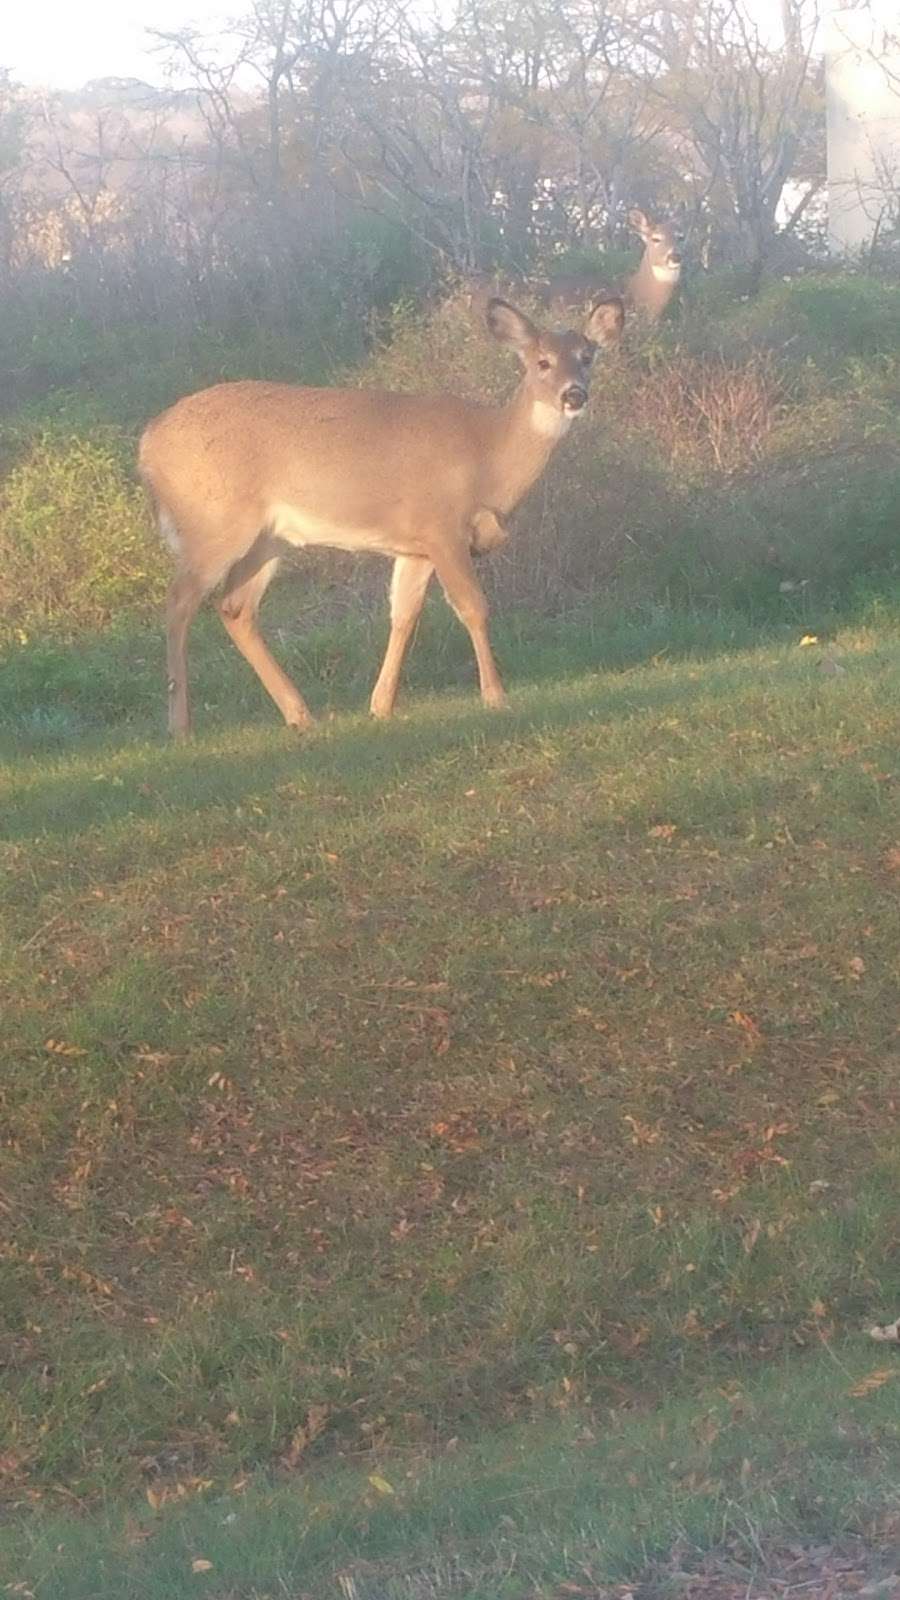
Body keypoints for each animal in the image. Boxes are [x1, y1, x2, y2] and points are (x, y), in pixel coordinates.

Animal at [140, 297, 621, 739]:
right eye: (542, 362)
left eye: (587, 356)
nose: (574, 394)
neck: (486, 455)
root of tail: (147, 443)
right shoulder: (442, 527)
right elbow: (473, 606)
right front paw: (495, 695)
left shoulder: (415, 548)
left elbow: (403, 615)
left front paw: (381, 705)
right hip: (214, 521)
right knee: (179, 602)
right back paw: (180, 725)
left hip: (269, 538)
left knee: (235, 607)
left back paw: (300, 714)